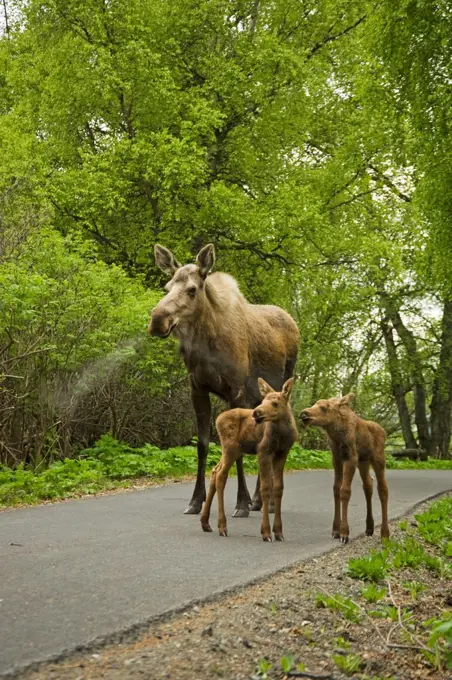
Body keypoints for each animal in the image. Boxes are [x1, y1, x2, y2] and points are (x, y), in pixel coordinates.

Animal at [149, 244, 300, 516]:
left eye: (192, 289)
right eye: (167, 286)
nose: (158, 319)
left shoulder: (236, 391)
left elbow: (237, 449)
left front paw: (241, 503)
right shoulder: (197, 389)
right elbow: (202, 445)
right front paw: (195, 501)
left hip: (279, 387)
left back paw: (266, 502)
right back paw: (259, 500)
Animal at [201, 378, 296, 540]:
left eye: (275, 403)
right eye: (263, 401)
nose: (257, 412)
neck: (282, 435)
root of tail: (217, 419)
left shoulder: (282, 453)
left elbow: (278, 488)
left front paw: (278, 532)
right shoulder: (263, 451)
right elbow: (266, 487)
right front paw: (266, 532)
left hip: (233, 450)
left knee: (214, 471)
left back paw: (205, 523)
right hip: (231, 448)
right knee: (220, 475)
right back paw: (222, 527)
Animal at [300, 394, 388, 540]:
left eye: (323, 408)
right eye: (314, 404)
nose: (304, 414)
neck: (336, 437)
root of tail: (384, 432)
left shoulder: (350, 457)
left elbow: (345, 491)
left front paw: (344, 532)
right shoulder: (336, 459)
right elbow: (336, 489)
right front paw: (335, 529)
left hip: (378, 459)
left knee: (383, 488)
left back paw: (385, 533)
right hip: (363, 462)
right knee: (368, 484)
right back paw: (369, 527)